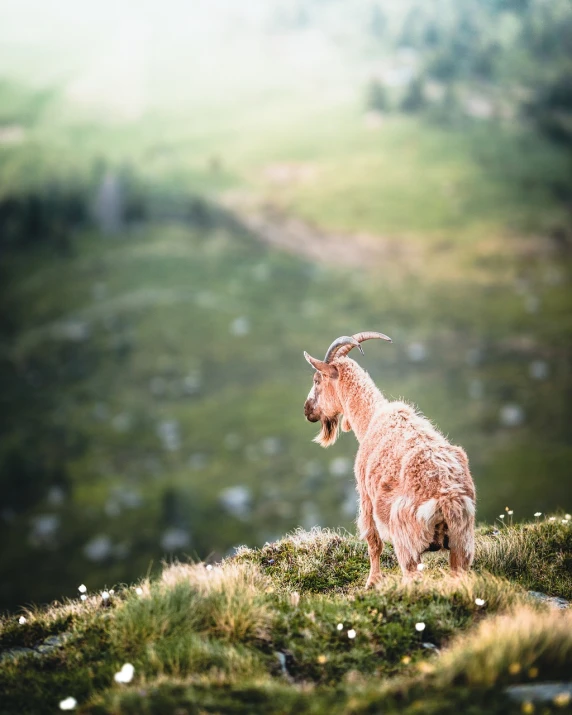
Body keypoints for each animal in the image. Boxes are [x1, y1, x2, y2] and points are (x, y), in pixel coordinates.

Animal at [306, 332, 476, 584]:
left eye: (318, 379)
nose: (307, 410)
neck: (370, 419)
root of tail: (447, 499)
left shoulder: (365, 495)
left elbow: (373, 543)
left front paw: (372, 582)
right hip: (462, 544)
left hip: (407, 542)